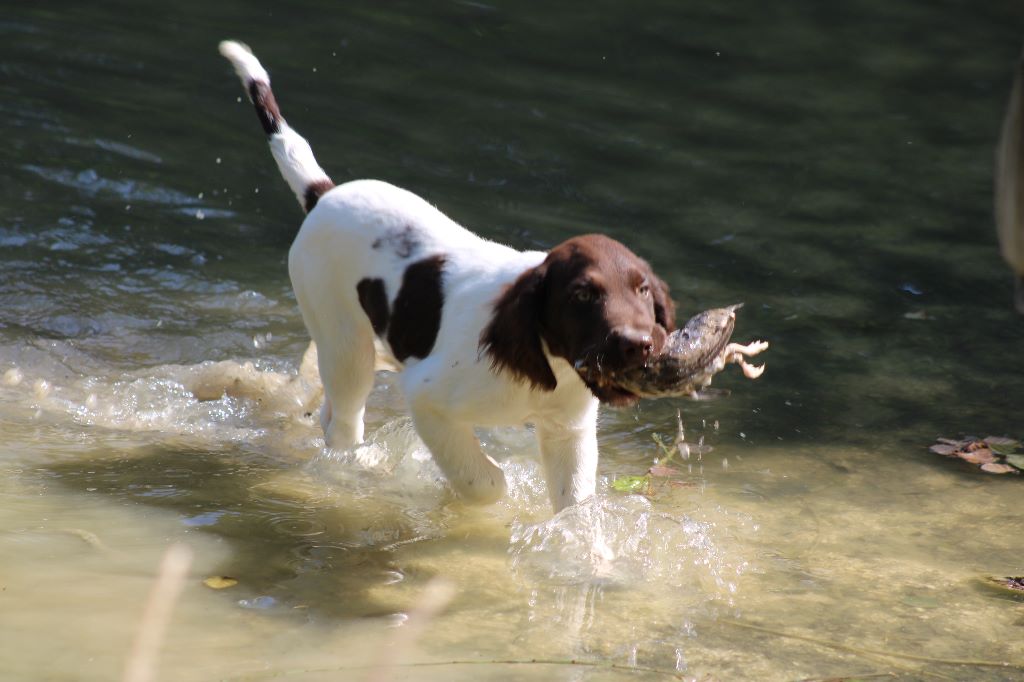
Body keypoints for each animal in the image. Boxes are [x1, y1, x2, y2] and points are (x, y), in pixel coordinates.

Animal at [220, 41, 675, 509]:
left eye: (643, 291)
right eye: (582, 295)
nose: (639, 345)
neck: (545, 360)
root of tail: (324, 195)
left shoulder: (569, 431)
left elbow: (574, 506)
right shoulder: (429, 400)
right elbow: (485, 481)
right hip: (344, 341)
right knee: (344, 422)